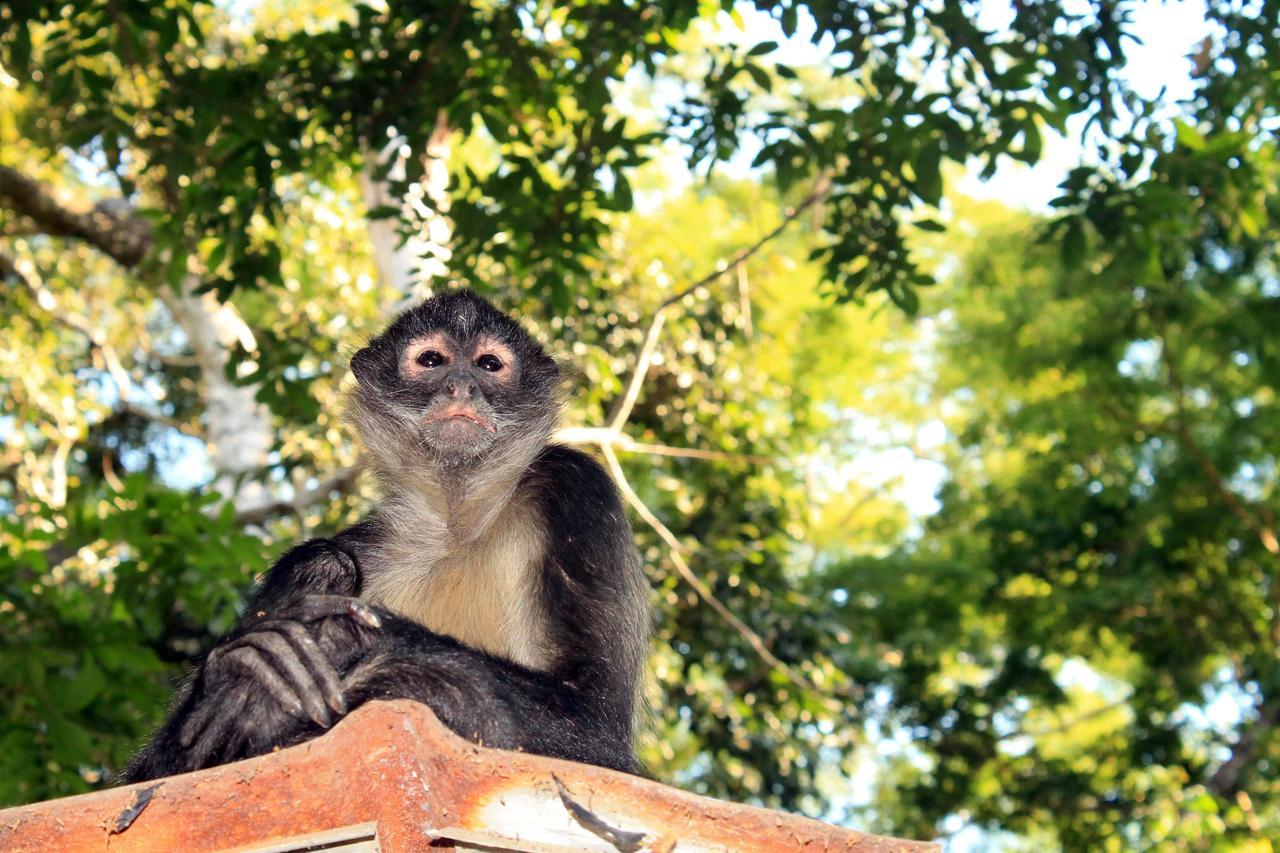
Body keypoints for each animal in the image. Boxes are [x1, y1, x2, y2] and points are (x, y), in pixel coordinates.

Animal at [122, 289, 650, 778]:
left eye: (489, 364)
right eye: (432, 361)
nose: (462, 386)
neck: (455, 527)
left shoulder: (575, 484)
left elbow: (595, 724)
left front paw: (344, 641)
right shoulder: (365, 544)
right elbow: (152, 775)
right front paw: (244, 667)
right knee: (323, 560)